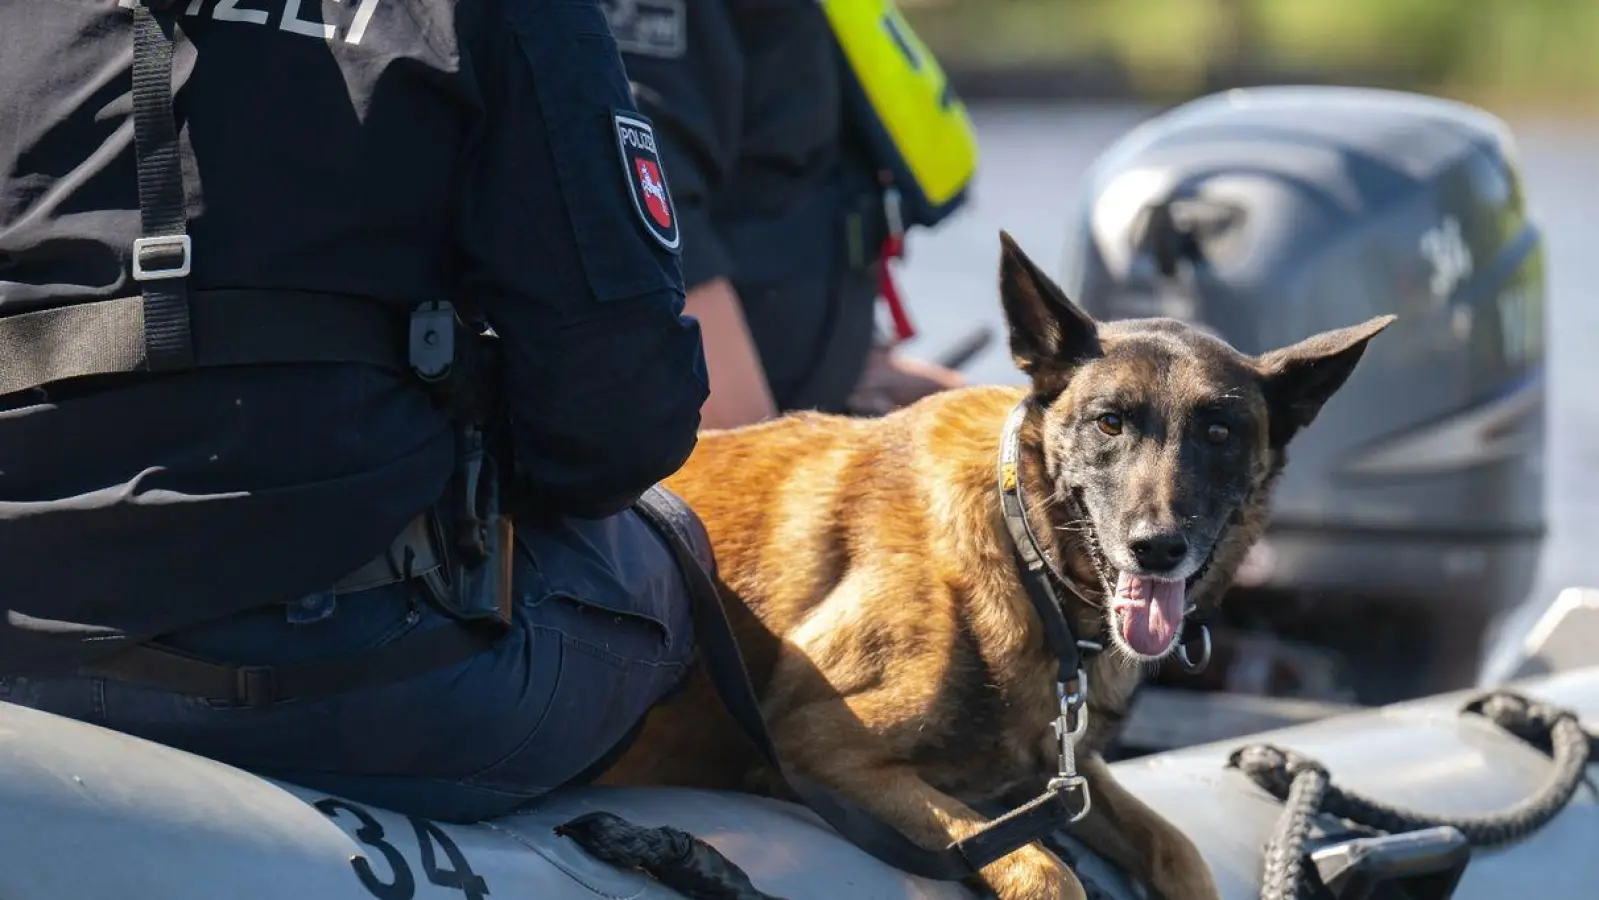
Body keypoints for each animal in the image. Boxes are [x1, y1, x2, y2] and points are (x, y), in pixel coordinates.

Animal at [594, 231, 1394, 900]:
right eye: (1110, 423)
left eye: (1220, 432)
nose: (1156, 547)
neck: (1025, 557)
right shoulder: (820, 750)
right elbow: (1044, 870)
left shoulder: (1061, 770)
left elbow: (1178, 849)